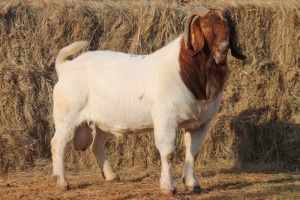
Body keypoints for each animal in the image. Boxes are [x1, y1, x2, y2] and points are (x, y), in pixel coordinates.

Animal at [50, 6, 245, 195]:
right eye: (205, 27)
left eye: (228, 27)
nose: (222, 51)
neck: (186, 71)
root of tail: (66, 67)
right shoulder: (166, 119)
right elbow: (168, 153)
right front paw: (168, 187)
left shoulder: (201, 123)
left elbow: (193, 153)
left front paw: (192, 184)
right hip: (67, 116)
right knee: (57, 143)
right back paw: (62, 182)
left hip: (101, 121)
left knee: (96, 145)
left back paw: (112, 176)